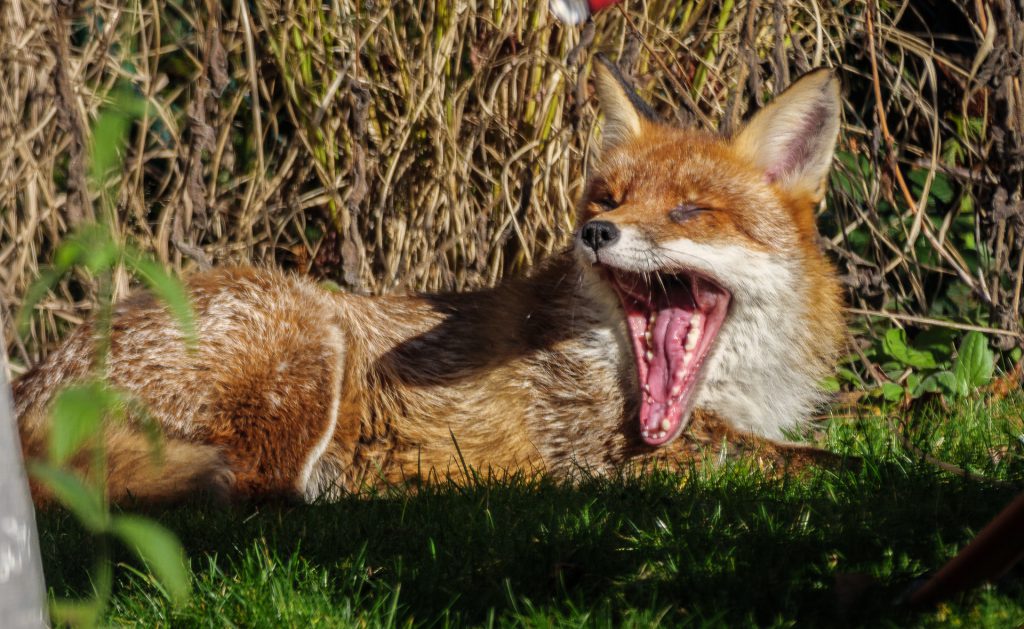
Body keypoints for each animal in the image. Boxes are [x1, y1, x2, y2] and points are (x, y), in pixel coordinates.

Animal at [14, 56, 847, 506]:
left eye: (688, 210)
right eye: (606, 200)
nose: (595, 234)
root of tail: (29, 390)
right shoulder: (602, 452)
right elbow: (815, 462)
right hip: (303, 347)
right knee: (255, 493)